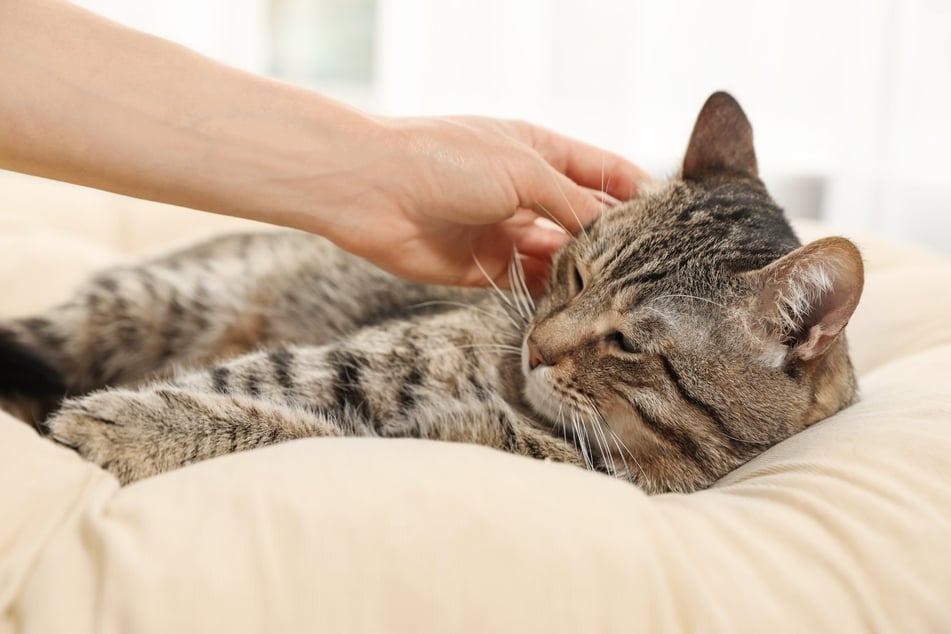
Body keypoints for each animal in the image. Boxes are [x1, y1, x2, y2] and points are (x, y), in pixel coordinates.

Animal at [0, 91, 864, 492]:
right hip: (149, 302)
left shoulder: (416, 447)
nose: (533, 348)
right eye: (575, 274)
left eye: (626, 342)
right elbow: (251, 383)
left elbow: (279, 428)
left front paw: (127, 425)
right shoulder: (352, 364)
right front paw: (127, 417)